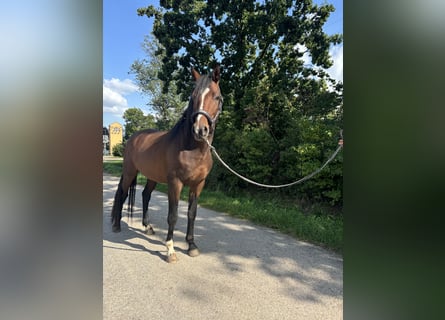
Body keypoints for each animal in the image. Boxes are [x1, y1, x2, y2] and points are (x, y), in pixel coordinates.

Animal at [111, 65, 222, 262]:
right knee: (122, 194)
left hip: (151, 177)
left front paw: (191, 246)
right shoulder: (175, 183)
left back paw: (147, 227)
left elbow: (191, 214)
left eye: (216, 97)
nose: (199, 130)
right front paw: (170, 249)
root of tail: (133, 138)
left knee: (145, 195)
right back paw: (117, 225)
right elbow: (173, 215)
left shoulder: (198, 184)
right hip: (130, 172)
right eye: (193, 96)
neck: (192, 148)